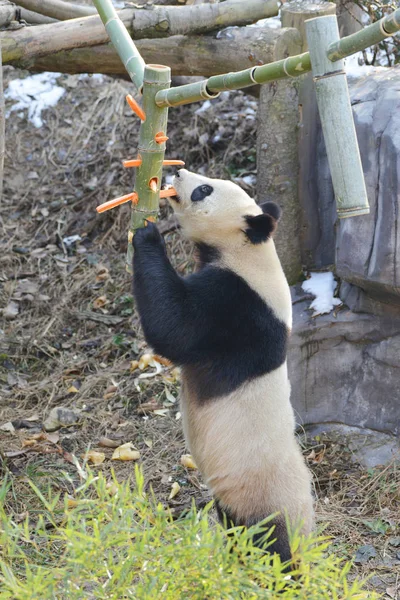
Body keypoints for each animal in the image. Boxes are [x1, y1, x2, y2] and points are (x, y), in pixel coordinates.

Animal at [133, 170, 314, 568]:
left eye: (205, 189)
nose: (177, 172)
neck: (247, 248)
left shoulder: (238, 305)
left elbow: (175, 328)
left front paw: (148, 234)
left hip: (264, 498)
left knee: (268, 544)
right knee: (234, 525)